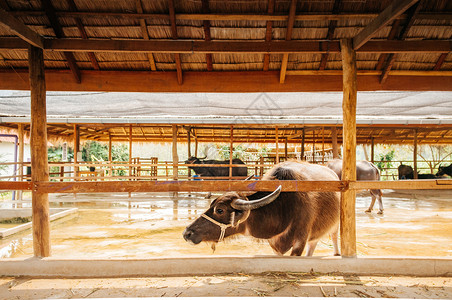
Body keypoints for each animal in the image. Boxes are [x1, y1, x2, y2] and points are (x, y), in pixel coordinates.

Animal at [182, 161, 340, 256]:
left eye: (220, 210)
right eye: (211, 205)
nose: (187, 233)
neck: (284, 208)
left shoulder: (300, 241)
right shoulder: (274, 243)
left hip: (336, 224)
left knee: (333, 235)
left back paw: (337, 253)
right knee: (313, 243)